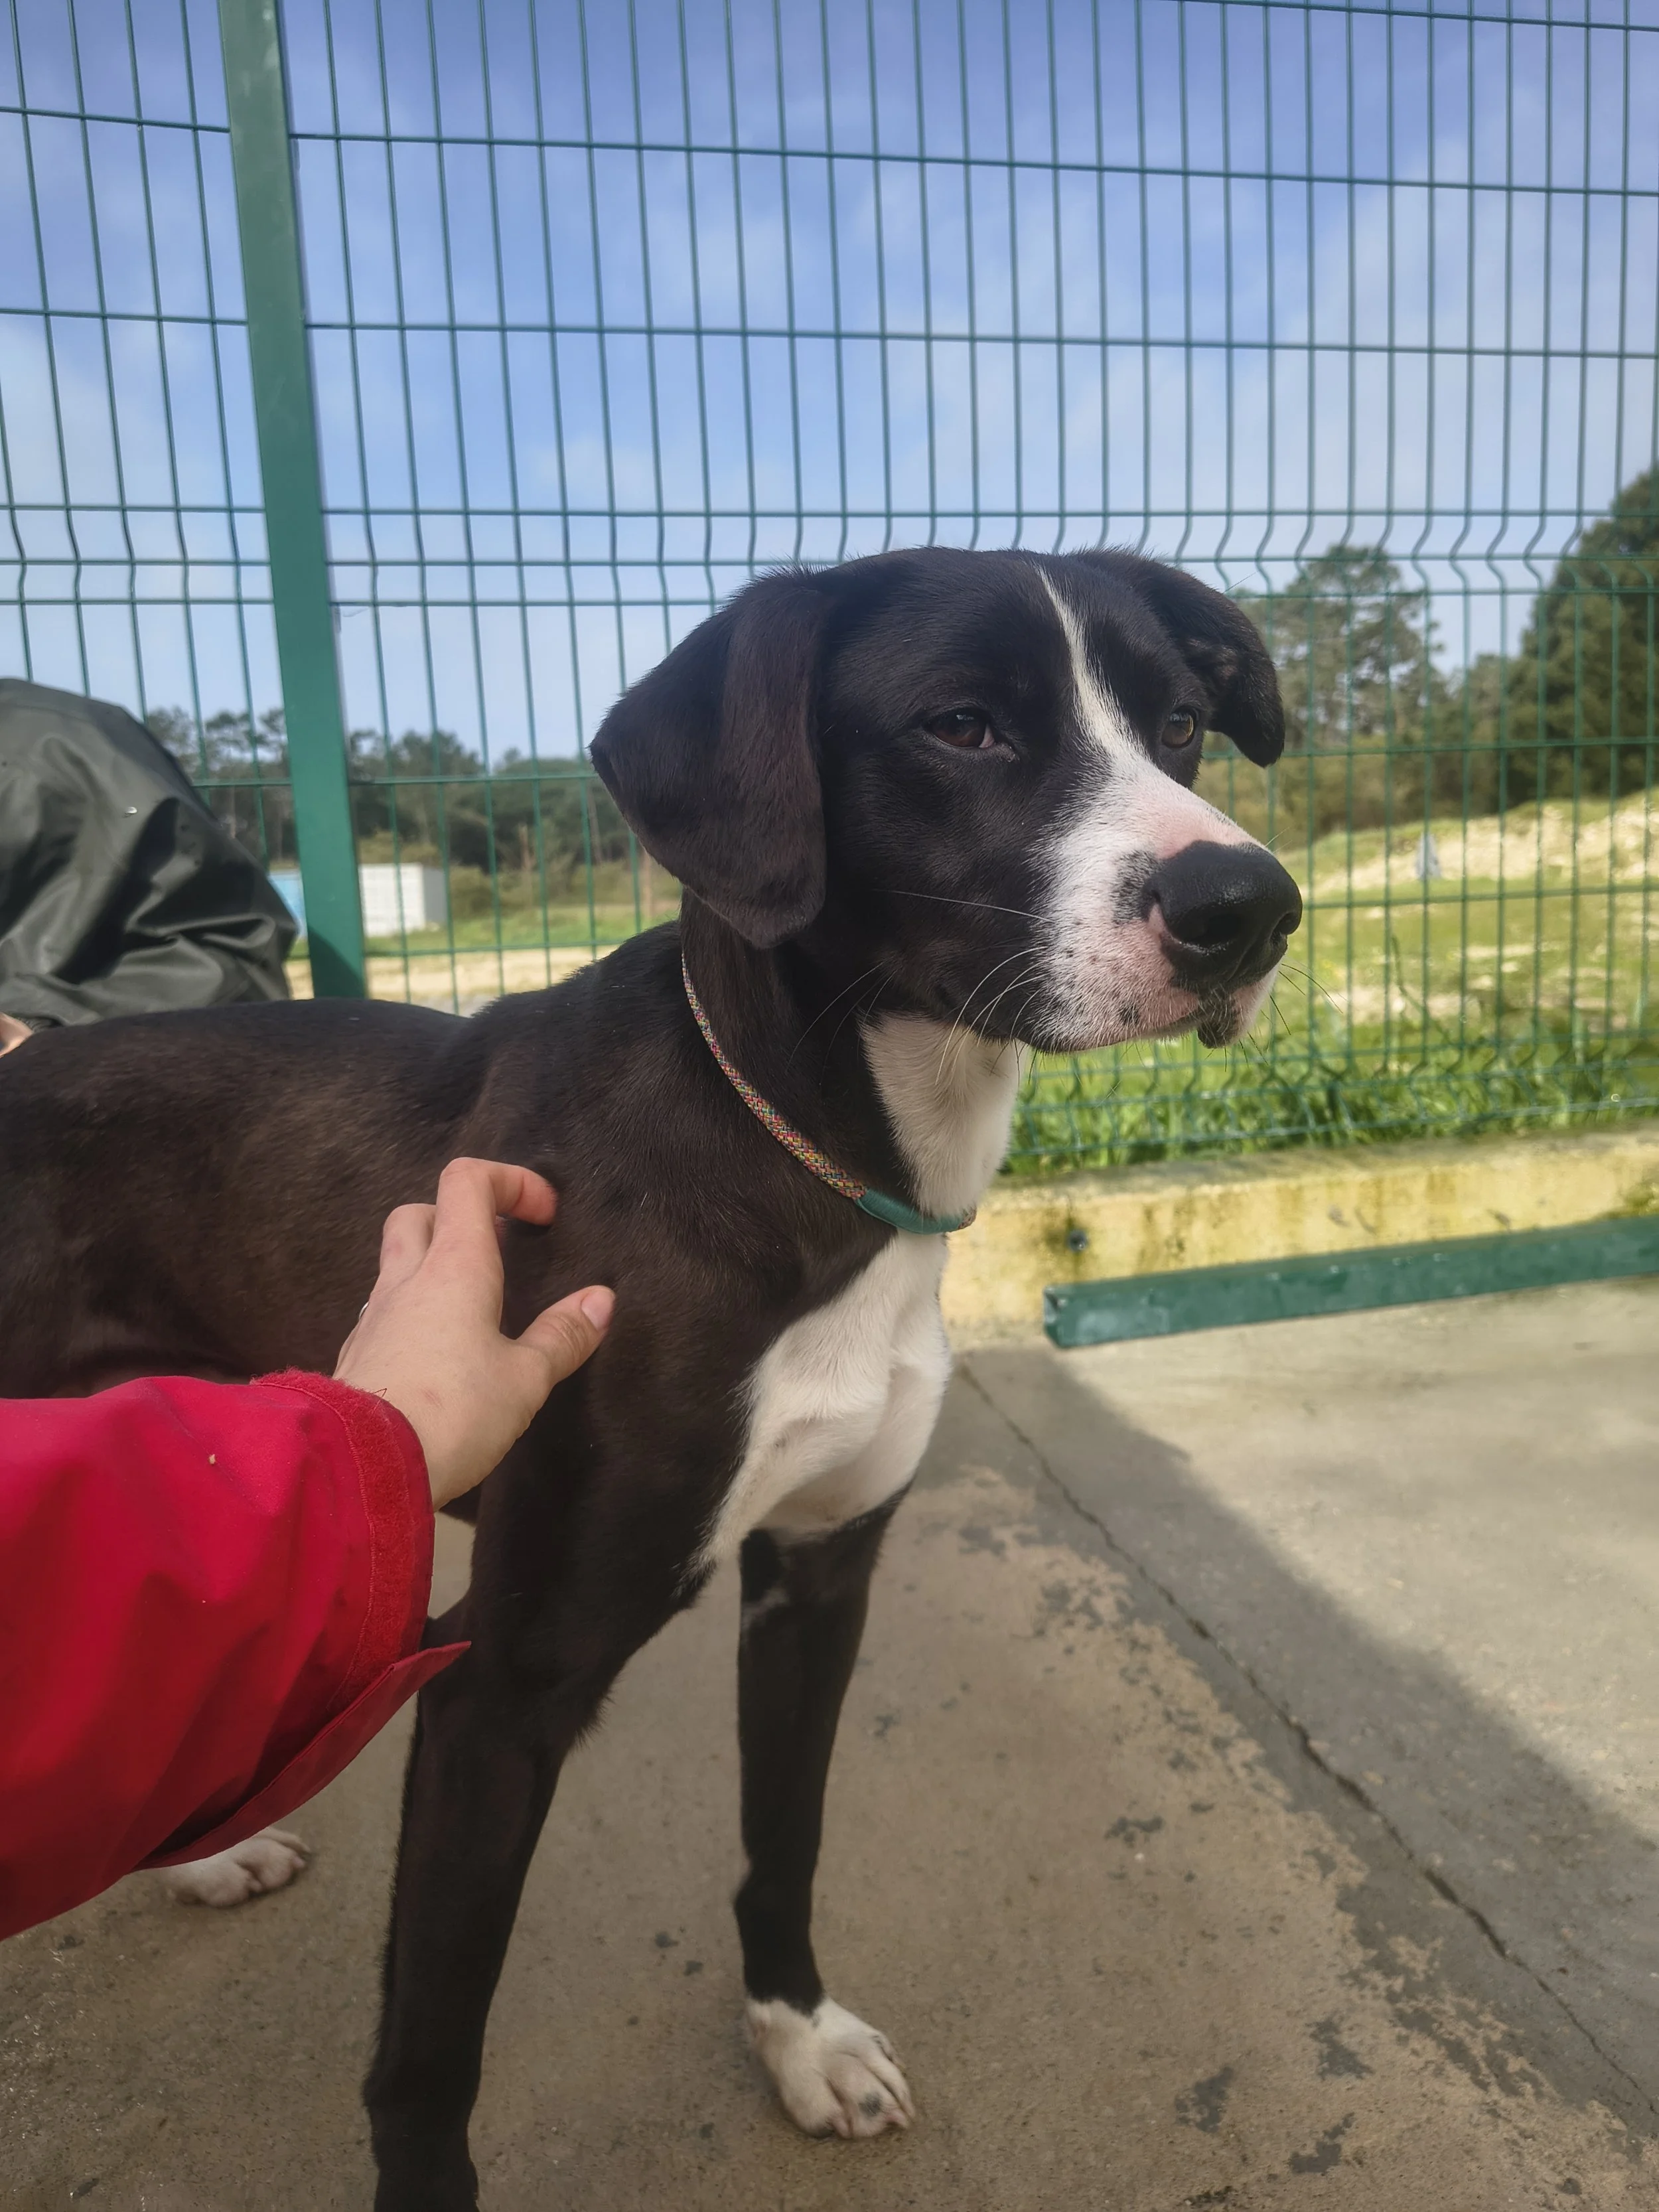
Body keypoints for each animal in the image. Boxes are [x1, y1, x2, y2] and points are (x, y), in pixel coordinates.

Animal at [0, 548, 1299, 2209]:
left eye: (1180, 721)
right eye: (959, 723)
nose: (1247, 907)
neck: (808, 1154)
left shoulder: (817, 1577)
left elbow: (781, 1840)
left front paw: (798, 2038)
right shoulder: (497, 1680)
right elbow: (428, 2052)